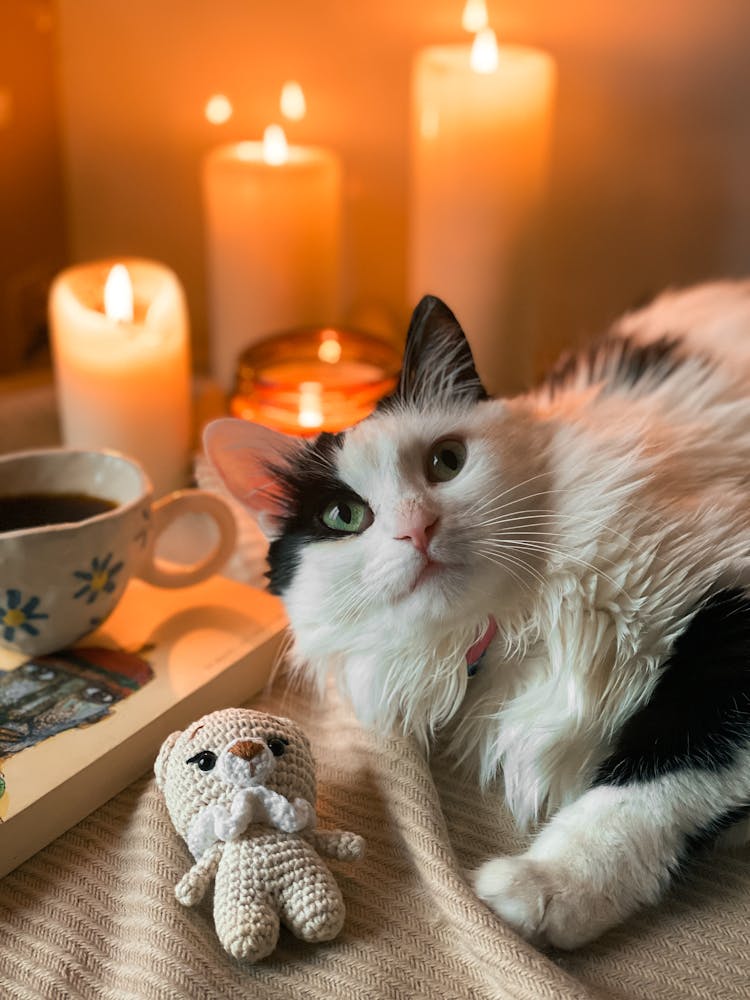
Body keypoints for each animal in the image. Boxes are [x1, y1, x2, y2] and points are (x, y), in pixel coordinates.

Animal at [204, 286, 750, 948]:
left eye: (447, 461)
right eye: (342, 516)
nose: (418, 527)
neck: (519, 625)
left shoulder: (721, 617)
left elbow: (663, 772)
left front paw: (549, 885)